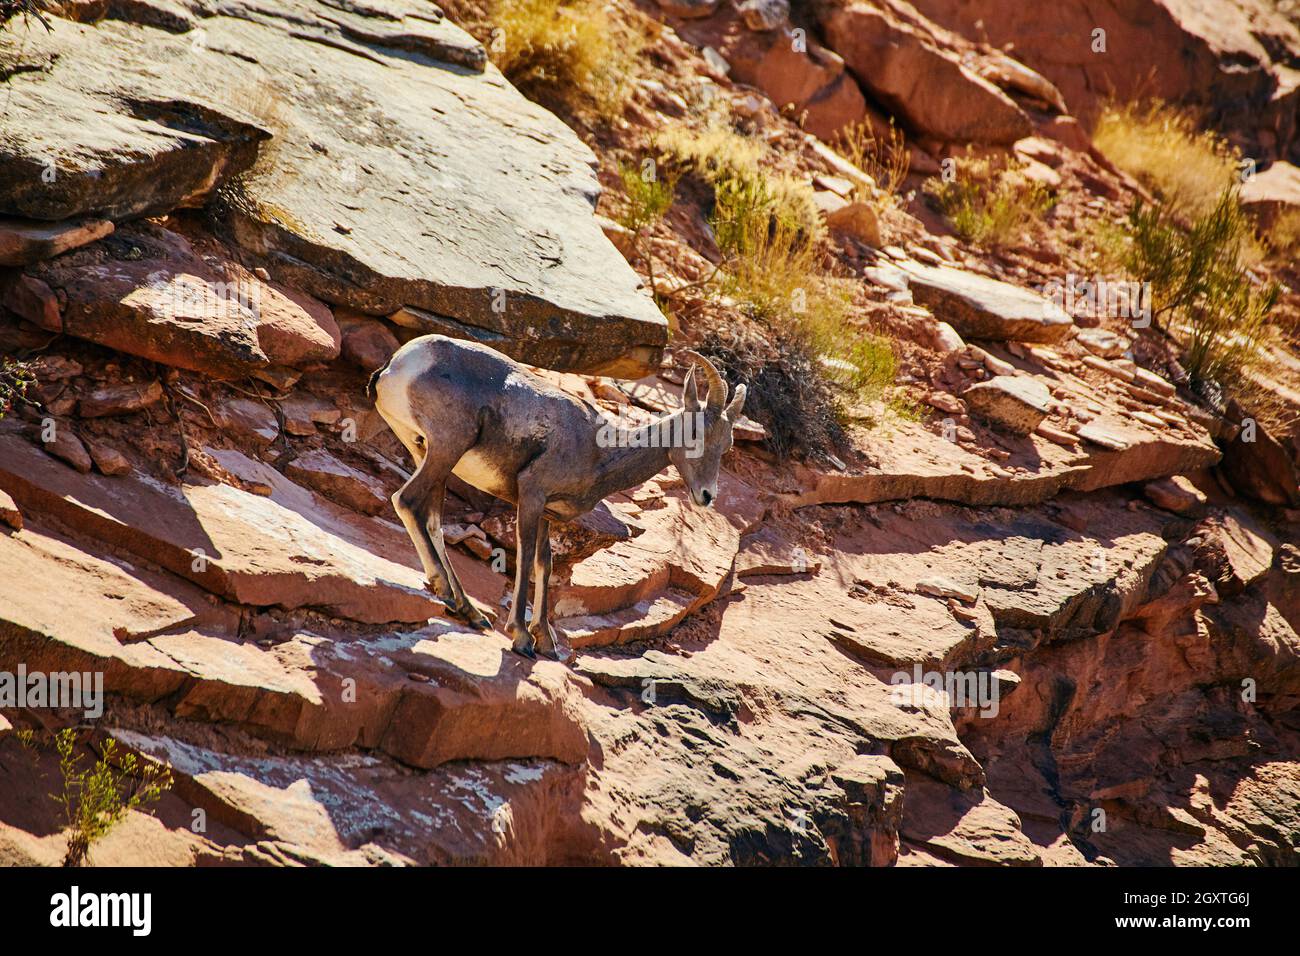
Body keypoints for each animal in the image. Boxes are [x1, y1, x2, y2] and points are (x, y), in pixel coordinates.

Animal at [369, 335, 746, 660]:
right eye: (695, 433)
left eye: (726, 444)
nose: (706, 495)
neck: (599, 449)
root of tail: (400, 364)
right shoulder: (531, 495)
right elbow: (524, 559)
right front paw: (522, 638)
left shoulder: (548, 515)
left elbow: (544, 564)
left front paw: (546, 642)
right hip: (446, 449)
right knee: (407, 501)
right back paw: (450, 596)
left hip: (426, 453)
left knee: (431, 520)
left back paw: (469, 610)